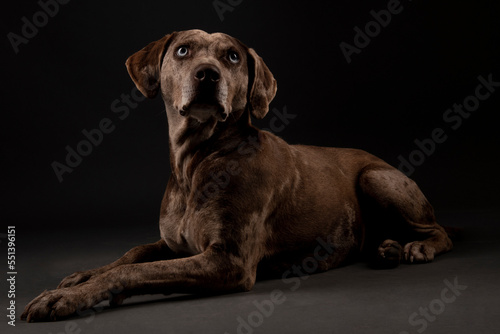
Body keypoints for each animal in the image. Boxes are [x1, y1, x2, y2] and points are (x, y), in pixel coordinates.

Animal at [21, 30, 452, 322]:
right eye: (183, 50)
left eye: (231, 57)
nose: (208, 75)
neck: (197, 162)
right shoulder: (176, 243)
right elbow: (132, 254)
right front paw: (81, 277)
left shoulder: (227, 260)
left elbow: (137, 270)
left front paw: (67, 298)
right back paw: (388, 248)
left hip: (376, 179)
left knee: (440, 232)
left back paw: (417, 247)